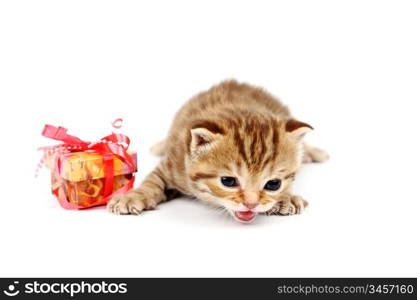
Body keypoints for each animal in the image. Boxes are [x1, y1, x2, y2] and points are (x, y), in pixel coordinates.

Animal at [108, 79, 328, 223]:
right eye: (228, 181)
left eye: (273, 184)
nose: (251, 205)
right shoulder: (172, 163)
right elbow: (151, 182)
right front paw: (132, 197)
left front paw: (285, 198)